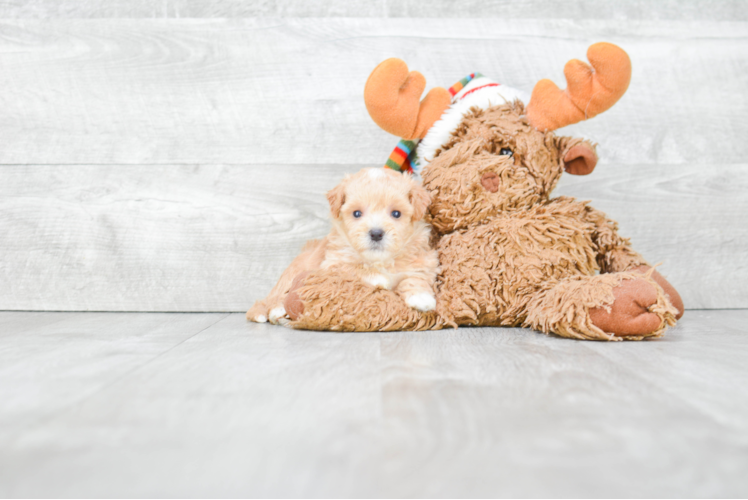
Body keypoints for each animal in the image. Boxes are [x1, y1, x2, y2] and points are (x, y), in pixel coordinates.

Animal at [248, 168, 442, 324]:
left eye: (396, 213)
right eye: (357, 213)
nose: (376, 233)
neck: (380, 260)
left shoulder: (422, 261)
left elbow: (416, 277)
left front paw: (421, 297)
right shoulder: (332, 265)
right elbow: (353, 269)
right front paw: (379, 277)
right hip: (290, 276)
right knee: (271, 299)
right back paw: (275, 310)